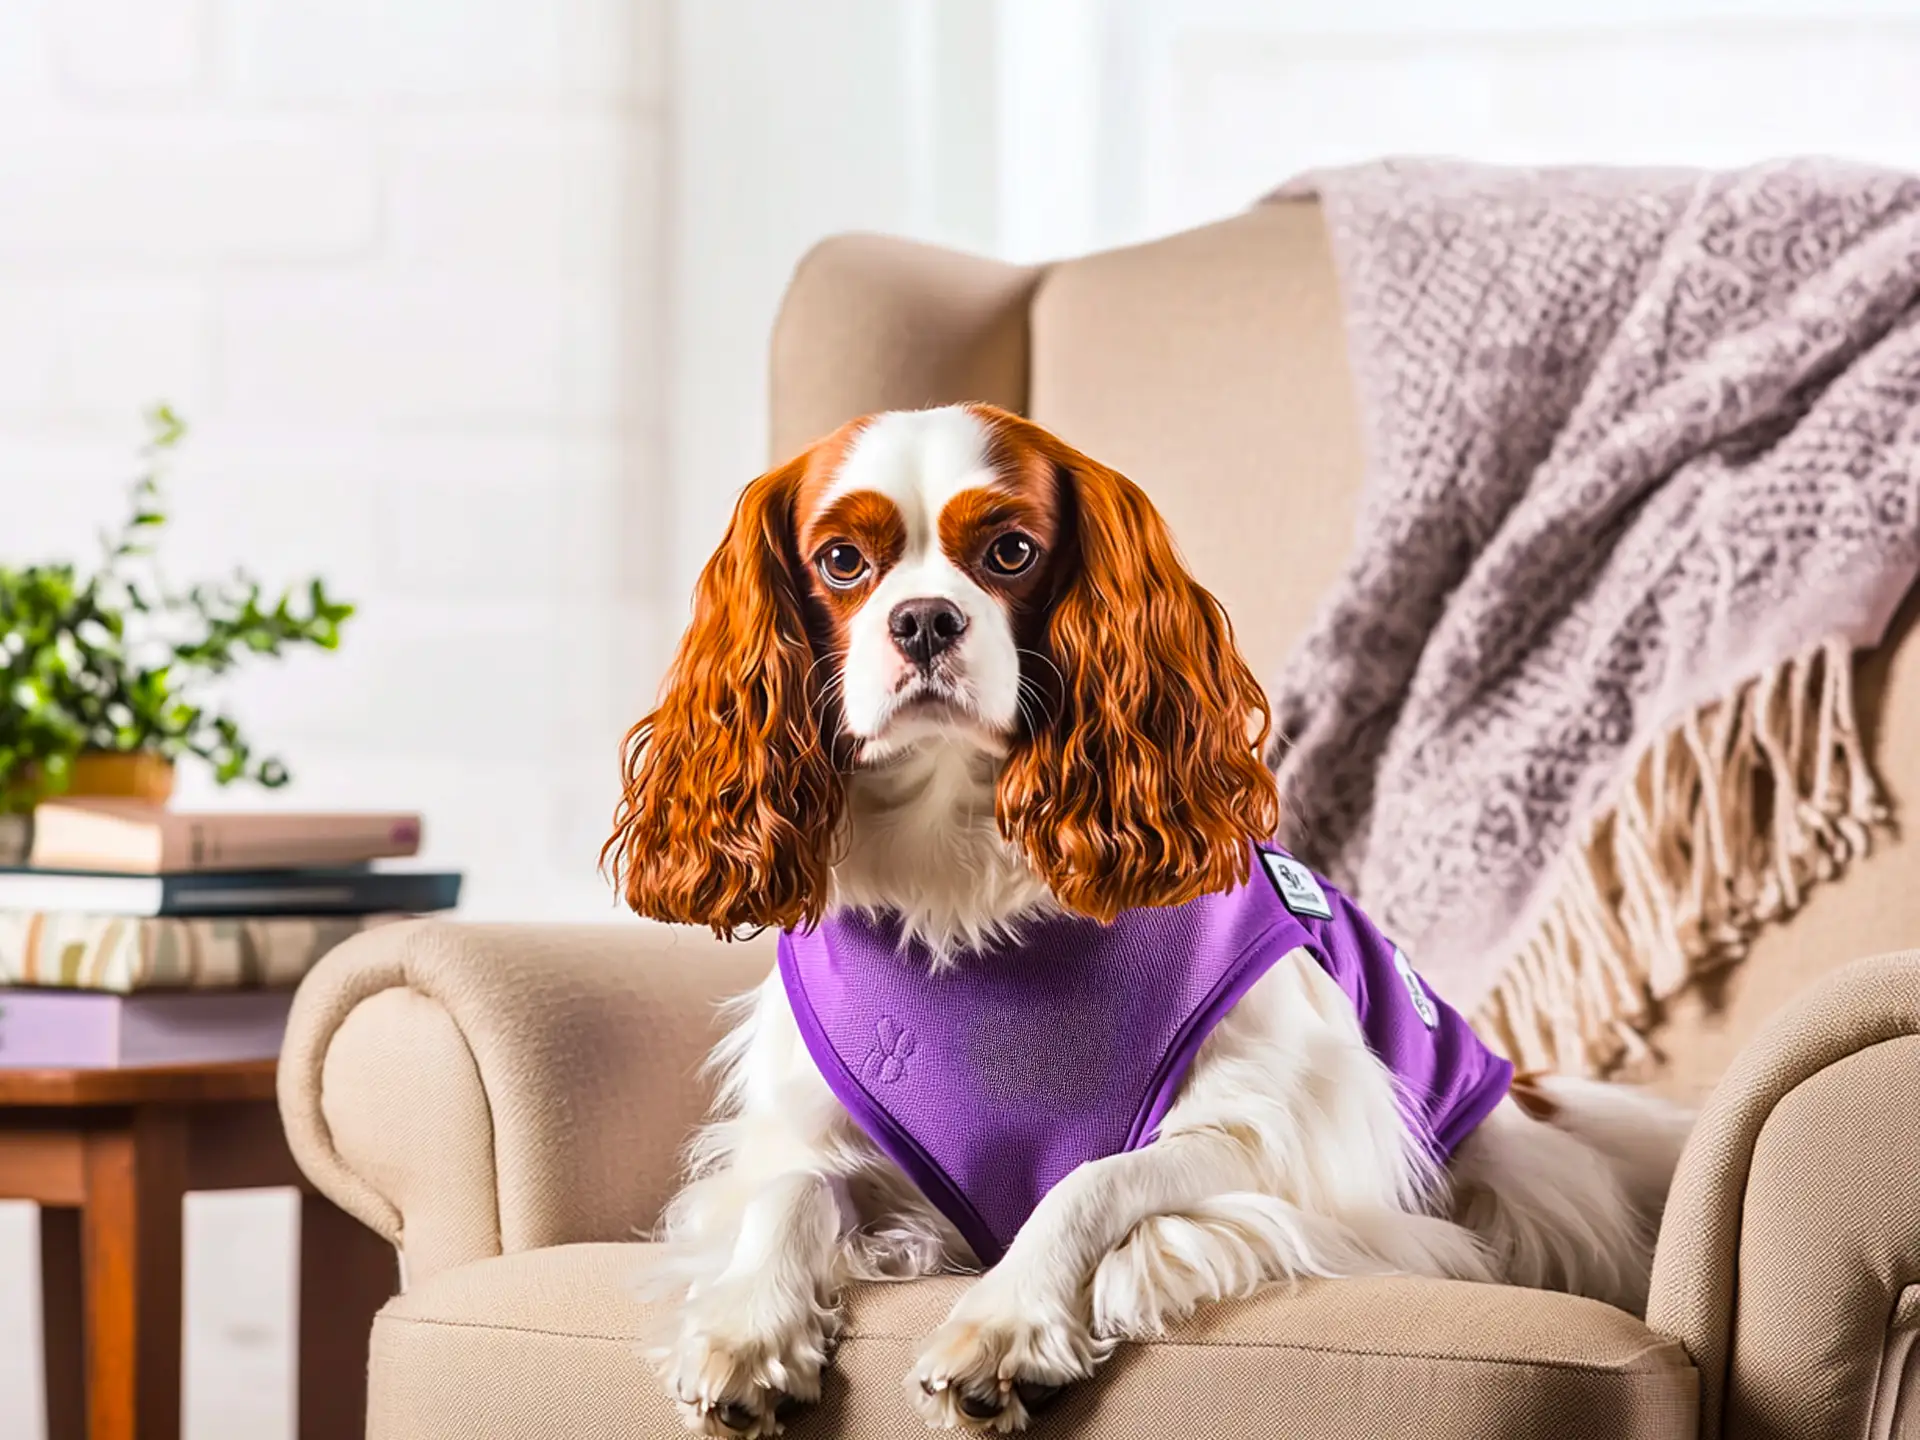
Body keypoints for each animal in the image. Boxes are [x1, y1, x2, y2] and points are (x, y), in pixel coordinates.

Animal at [602, 407, 1697, 1440]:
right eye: (841, 561)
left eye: (1010, 550)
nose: (923, 620)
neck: (959, 857)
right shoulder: (823, 1138)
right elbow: (786, 1192)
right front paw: (749, 1330)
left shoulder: (1293, 1142)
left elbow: (1095, 1180)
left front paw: (1009, 1322)